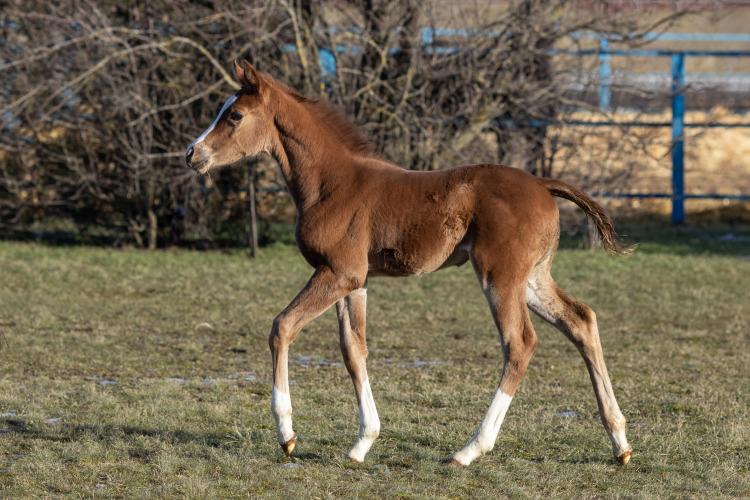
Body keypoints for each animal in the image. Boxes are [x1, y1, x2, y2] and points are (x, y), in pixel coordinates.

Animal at [185, 59, 634, 466]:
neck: (332, 183)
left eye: (235, 115)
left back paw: (469, 450)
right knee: (581, 321)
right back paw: (620, 442)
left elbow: (282, 327)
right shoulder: (355, 281)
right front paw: (363, 443)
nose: (192, 154)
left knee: (519, 343)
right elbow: (354, 350)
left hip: (500, 276)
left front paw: (287, 435)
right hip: (533, 279)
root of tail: (543, 184)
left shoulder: (337, 272)